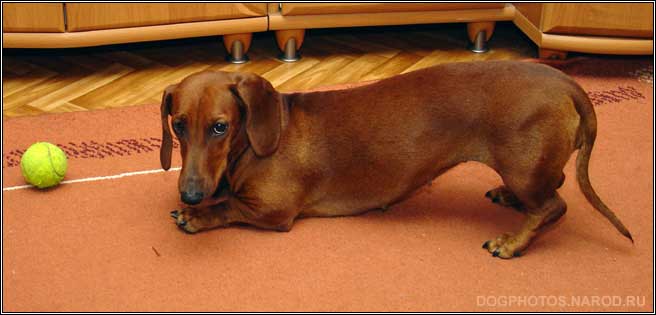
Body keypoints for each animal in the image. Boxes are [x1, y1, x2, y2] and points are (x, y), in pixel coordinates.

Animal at [159, 59, 632, 260]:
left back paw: (512, 242)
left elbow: (228, 206)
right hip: (528, 169)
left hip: (522, 166)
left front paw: (197, 215)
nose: (191, 193)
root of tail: (567, 82)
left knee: (555, 205)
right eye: (178, 125)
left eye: (220, 126)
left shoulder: (273, 211)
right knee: (553, 189)